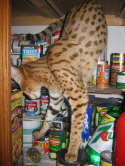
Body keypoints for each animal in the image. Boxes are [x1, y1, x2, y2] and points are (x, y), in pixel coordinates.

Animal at [11, 0, 107, 163]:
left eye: (24, 90)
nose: (28, 97)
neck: (48, 72)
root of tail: (87, 1)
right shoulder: (55, 99)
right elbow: (48, 118)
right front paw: (40, 134)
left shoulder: (79, 98)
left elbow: (75, 129)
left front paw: (72, 152)